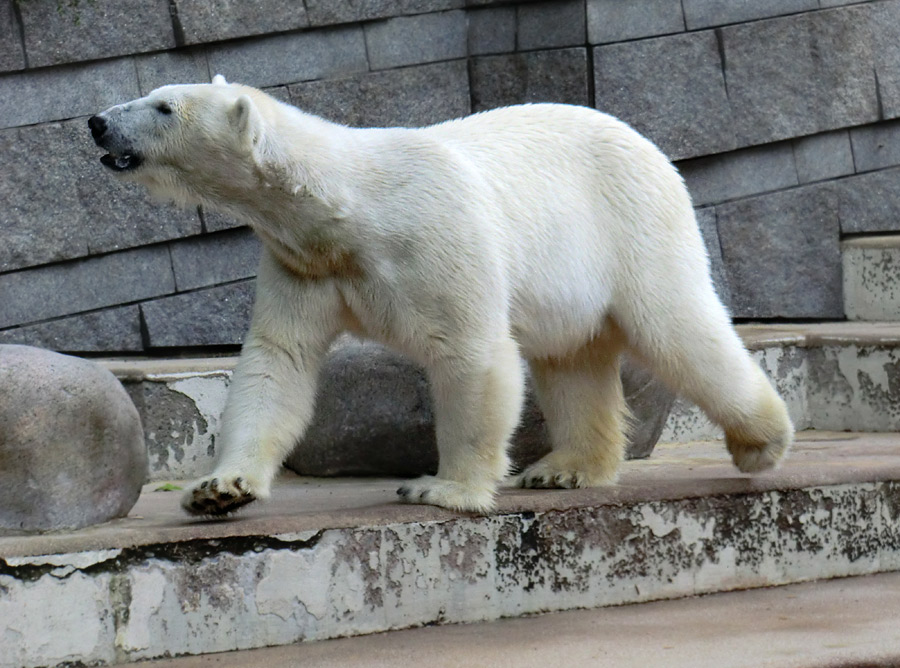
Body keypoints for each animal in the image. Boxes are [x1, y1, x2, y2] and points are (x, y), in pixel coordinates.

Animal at [89, 78, 796, 516]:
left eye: (164, 107)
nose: (96, 122)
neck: (344, 207)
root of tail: (649, 146)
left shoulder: (435, 236)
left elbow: (470, 351)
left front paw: (442, 488)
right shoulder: (303, 263)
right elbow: (277, 362)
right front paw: (218, 489)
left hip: (632, 223)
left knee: (677, 326)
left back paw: (761, 442)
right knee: (570, 359)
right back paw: (565, 467)